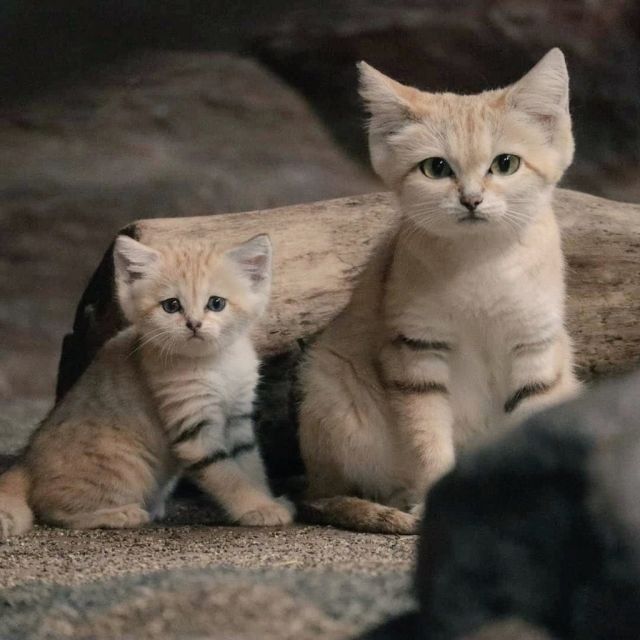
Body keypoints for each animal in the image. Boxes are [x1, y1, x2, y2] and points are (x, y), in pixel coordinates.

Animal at [0, 232, 294, 536]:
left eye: (216, 303)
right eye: (171, 306)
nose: (194, 324)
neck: (217, 362)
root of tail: (25, 462)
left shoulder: (238, 420)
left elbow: (251, 467)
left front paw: (267, 499)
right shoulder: (194, 431)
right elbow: (230, 477)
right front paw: (258, 508)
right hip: (127, 468)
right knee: (55, 511)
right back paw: (120, 514)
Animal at [298, 48, 580, 536]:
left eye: (506, 164)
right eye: (436, 168)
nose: (471, 200)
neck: (482, 262)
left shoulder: (537, 349)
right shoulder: (418, 352)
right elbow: (428, 441)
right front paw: (433, 505)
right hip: (330, 391)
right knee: (328, 496)